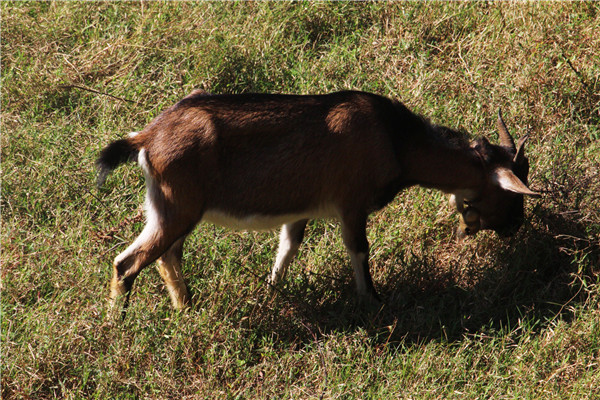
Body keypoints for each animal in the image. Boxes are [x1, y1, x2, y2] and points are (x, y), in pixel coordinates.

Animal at [97, 90, 540, 310]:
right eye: (512, 195)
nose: (515, 228)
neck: (395, 140)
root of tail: (147, 138)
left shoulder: (302, 209)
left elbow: (288, 247)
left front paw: (271, 290)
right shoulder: (351, 204)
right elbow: (358, 249)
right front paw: (374, 303)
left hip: (172, 209)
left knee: (167, 255)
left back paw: (186, 310)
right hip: (178, 208)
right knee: (127, 263)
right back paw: (119, 325)